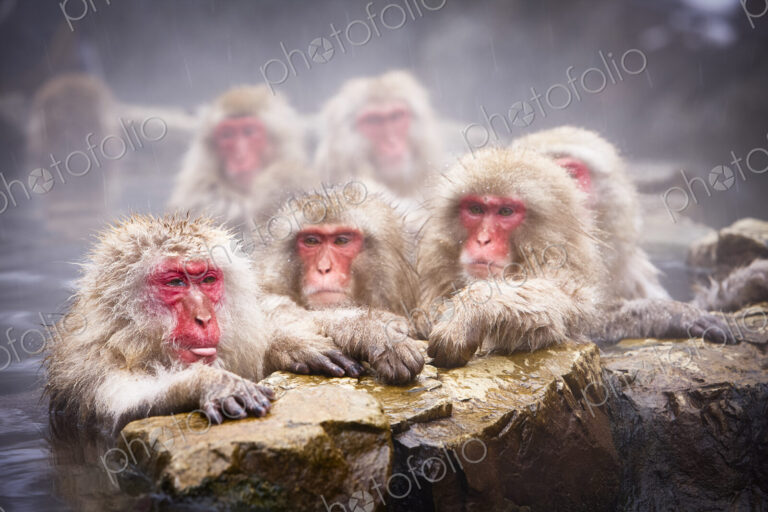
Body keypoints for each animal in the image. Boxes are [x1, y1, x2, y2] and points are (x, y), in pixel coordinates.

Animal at [44, 214, 364, 434]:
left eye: (208, 279)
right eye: (176, 282)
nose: (204, 318)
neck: (127, 340)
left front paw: (293, 344)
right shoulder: (90, 370)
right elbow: (123, 410)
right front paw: (208, 383)